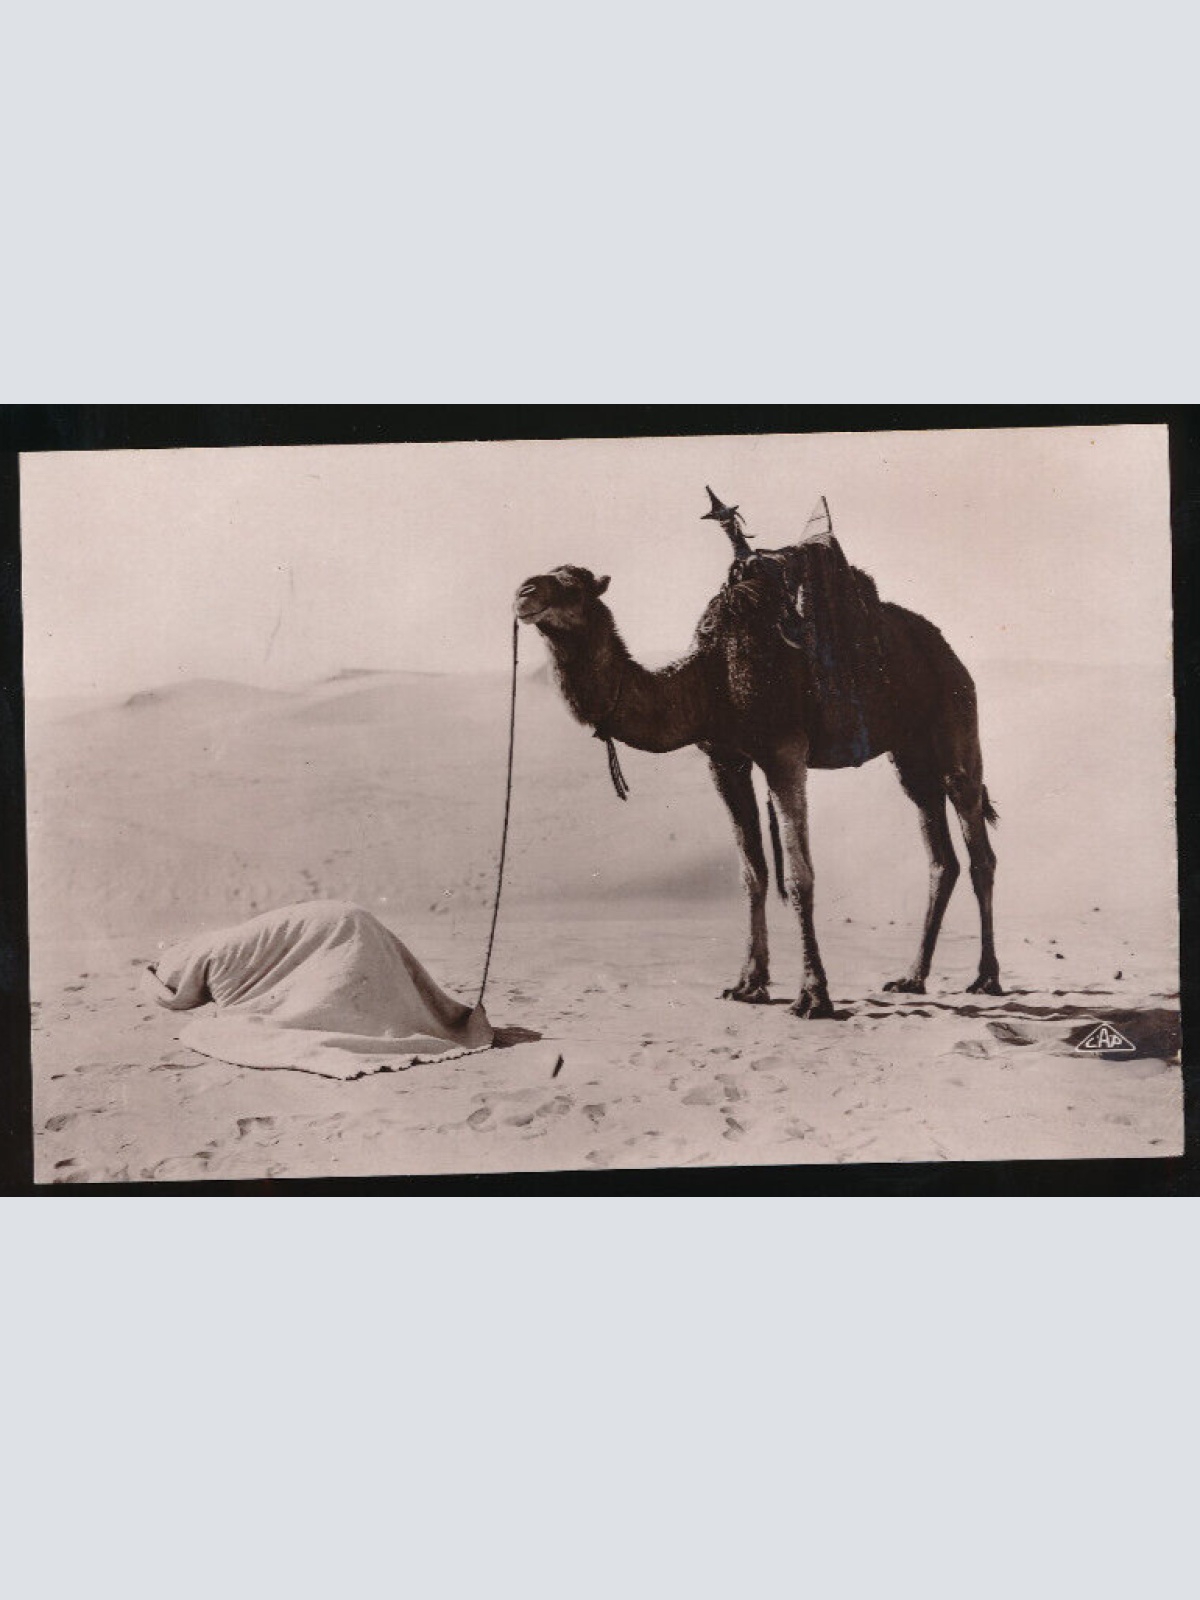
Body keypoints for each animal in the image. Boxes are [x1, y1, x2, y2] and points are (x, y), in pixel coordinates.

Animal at [514, 497, 1001, 1017]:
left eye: (573, 585)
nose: (524, 592)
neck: (710, 678)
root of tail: (947, 649)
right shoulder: (725, 760)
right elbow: (752, 872)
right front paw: (749, 983)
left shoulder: (783, 752)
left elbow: (799, 875)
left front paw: (813, 995)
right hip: (909, 756)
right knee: (941, 859)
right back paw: (912, 977)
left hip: (956, 716)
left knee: (978, 849)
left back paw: (986, 977)